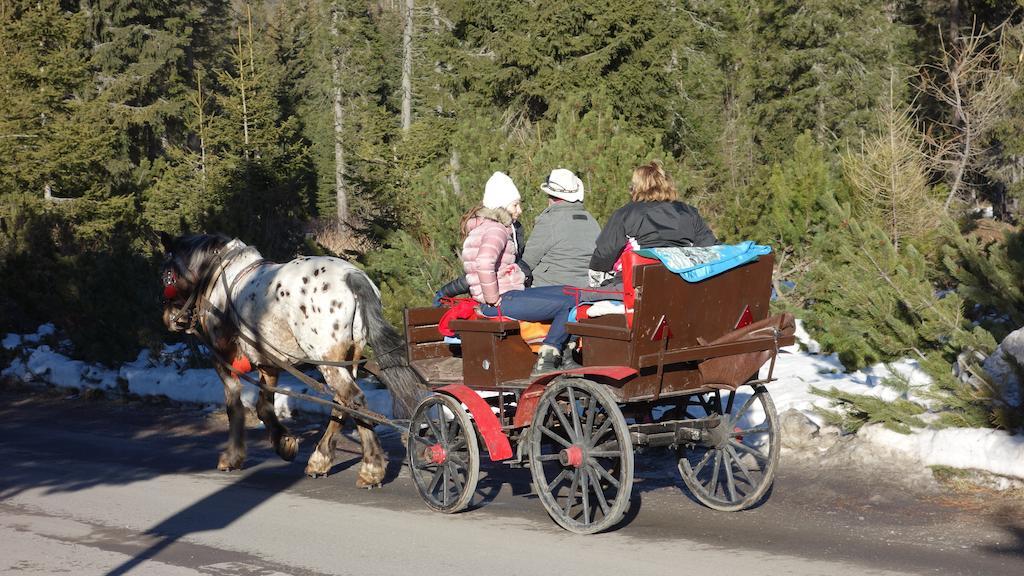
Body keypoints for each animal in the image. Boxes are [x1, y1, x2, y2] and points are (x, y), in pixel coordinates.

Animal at [157, 229, 421, 483]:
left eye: (167, 275)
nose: (169, 319)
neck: (219, 275)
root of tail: (352, 276)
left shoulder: (223, 357)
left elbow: (235, 405)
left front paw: (232, 457)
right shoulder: (269, 363)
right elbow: (264, 406)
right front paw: (284, 442)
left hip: (328, 359)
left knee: (354, 400)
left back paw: (370, 468)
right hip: (349, 358)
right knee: (342, 404)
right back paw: (321, 460)